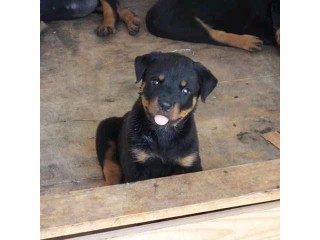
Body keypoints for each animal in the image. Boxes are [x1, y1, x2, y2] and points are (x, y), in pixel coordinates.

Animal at [95, 51, 218, 185]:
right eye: (155, 82)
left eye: (186, 90)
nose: (165, 104)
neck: (163, 133)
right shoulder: (135, 162)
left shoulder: (189, 161)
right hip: (105, 128)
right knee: (110, 166)